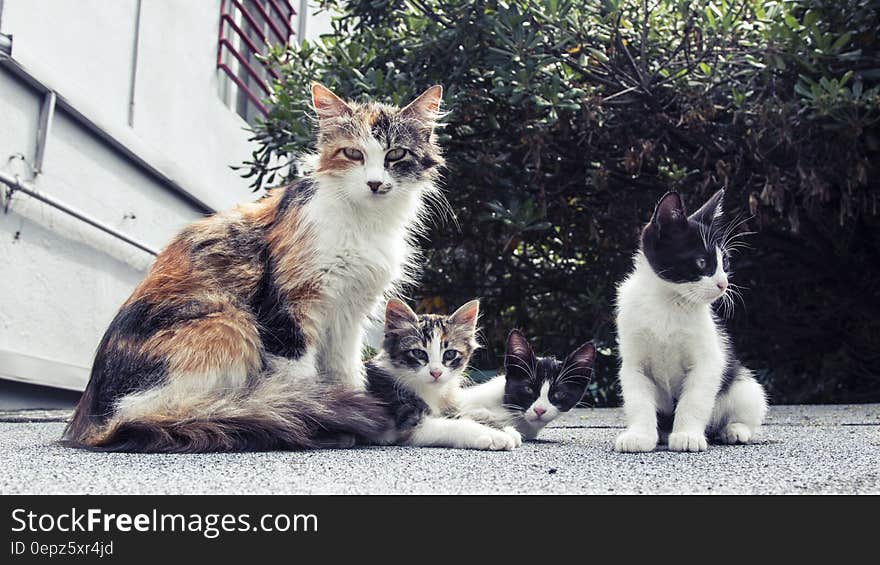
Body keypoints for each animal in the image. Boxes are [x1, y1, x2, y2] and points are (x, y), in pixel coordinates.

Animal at [64, 83, 446, 452]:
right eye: (353, 154)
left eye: (396, 155)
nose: (375, 183)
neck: (366, 223)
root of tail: (93, 422)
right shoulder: (290, 305)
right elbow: (301, 379)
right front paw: (326, 417)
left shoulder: (348, 314)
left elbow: (346, 371)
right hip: (230, 322)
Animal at [366, 300, 524, 450]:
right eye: (418, 353)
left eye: (449, 354)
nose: (436, 372)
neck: (433, 392)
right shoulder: (408, 424)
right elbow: (456, 424)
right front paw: (495, 435)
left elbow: (463, 415)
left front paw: (504, 428)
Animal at [616, 189, 768, 454]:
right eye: (701, 262)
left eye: (725, 262)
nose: (723, 284)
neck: (668, 303)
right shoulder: (633, 362)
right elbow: (638, 400)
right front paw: (639, 435)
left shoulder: (709, 360)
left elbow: (694, 400)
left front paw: (687, 435)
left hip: (743, 383)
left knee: (748, 407)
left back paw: (734, 430)